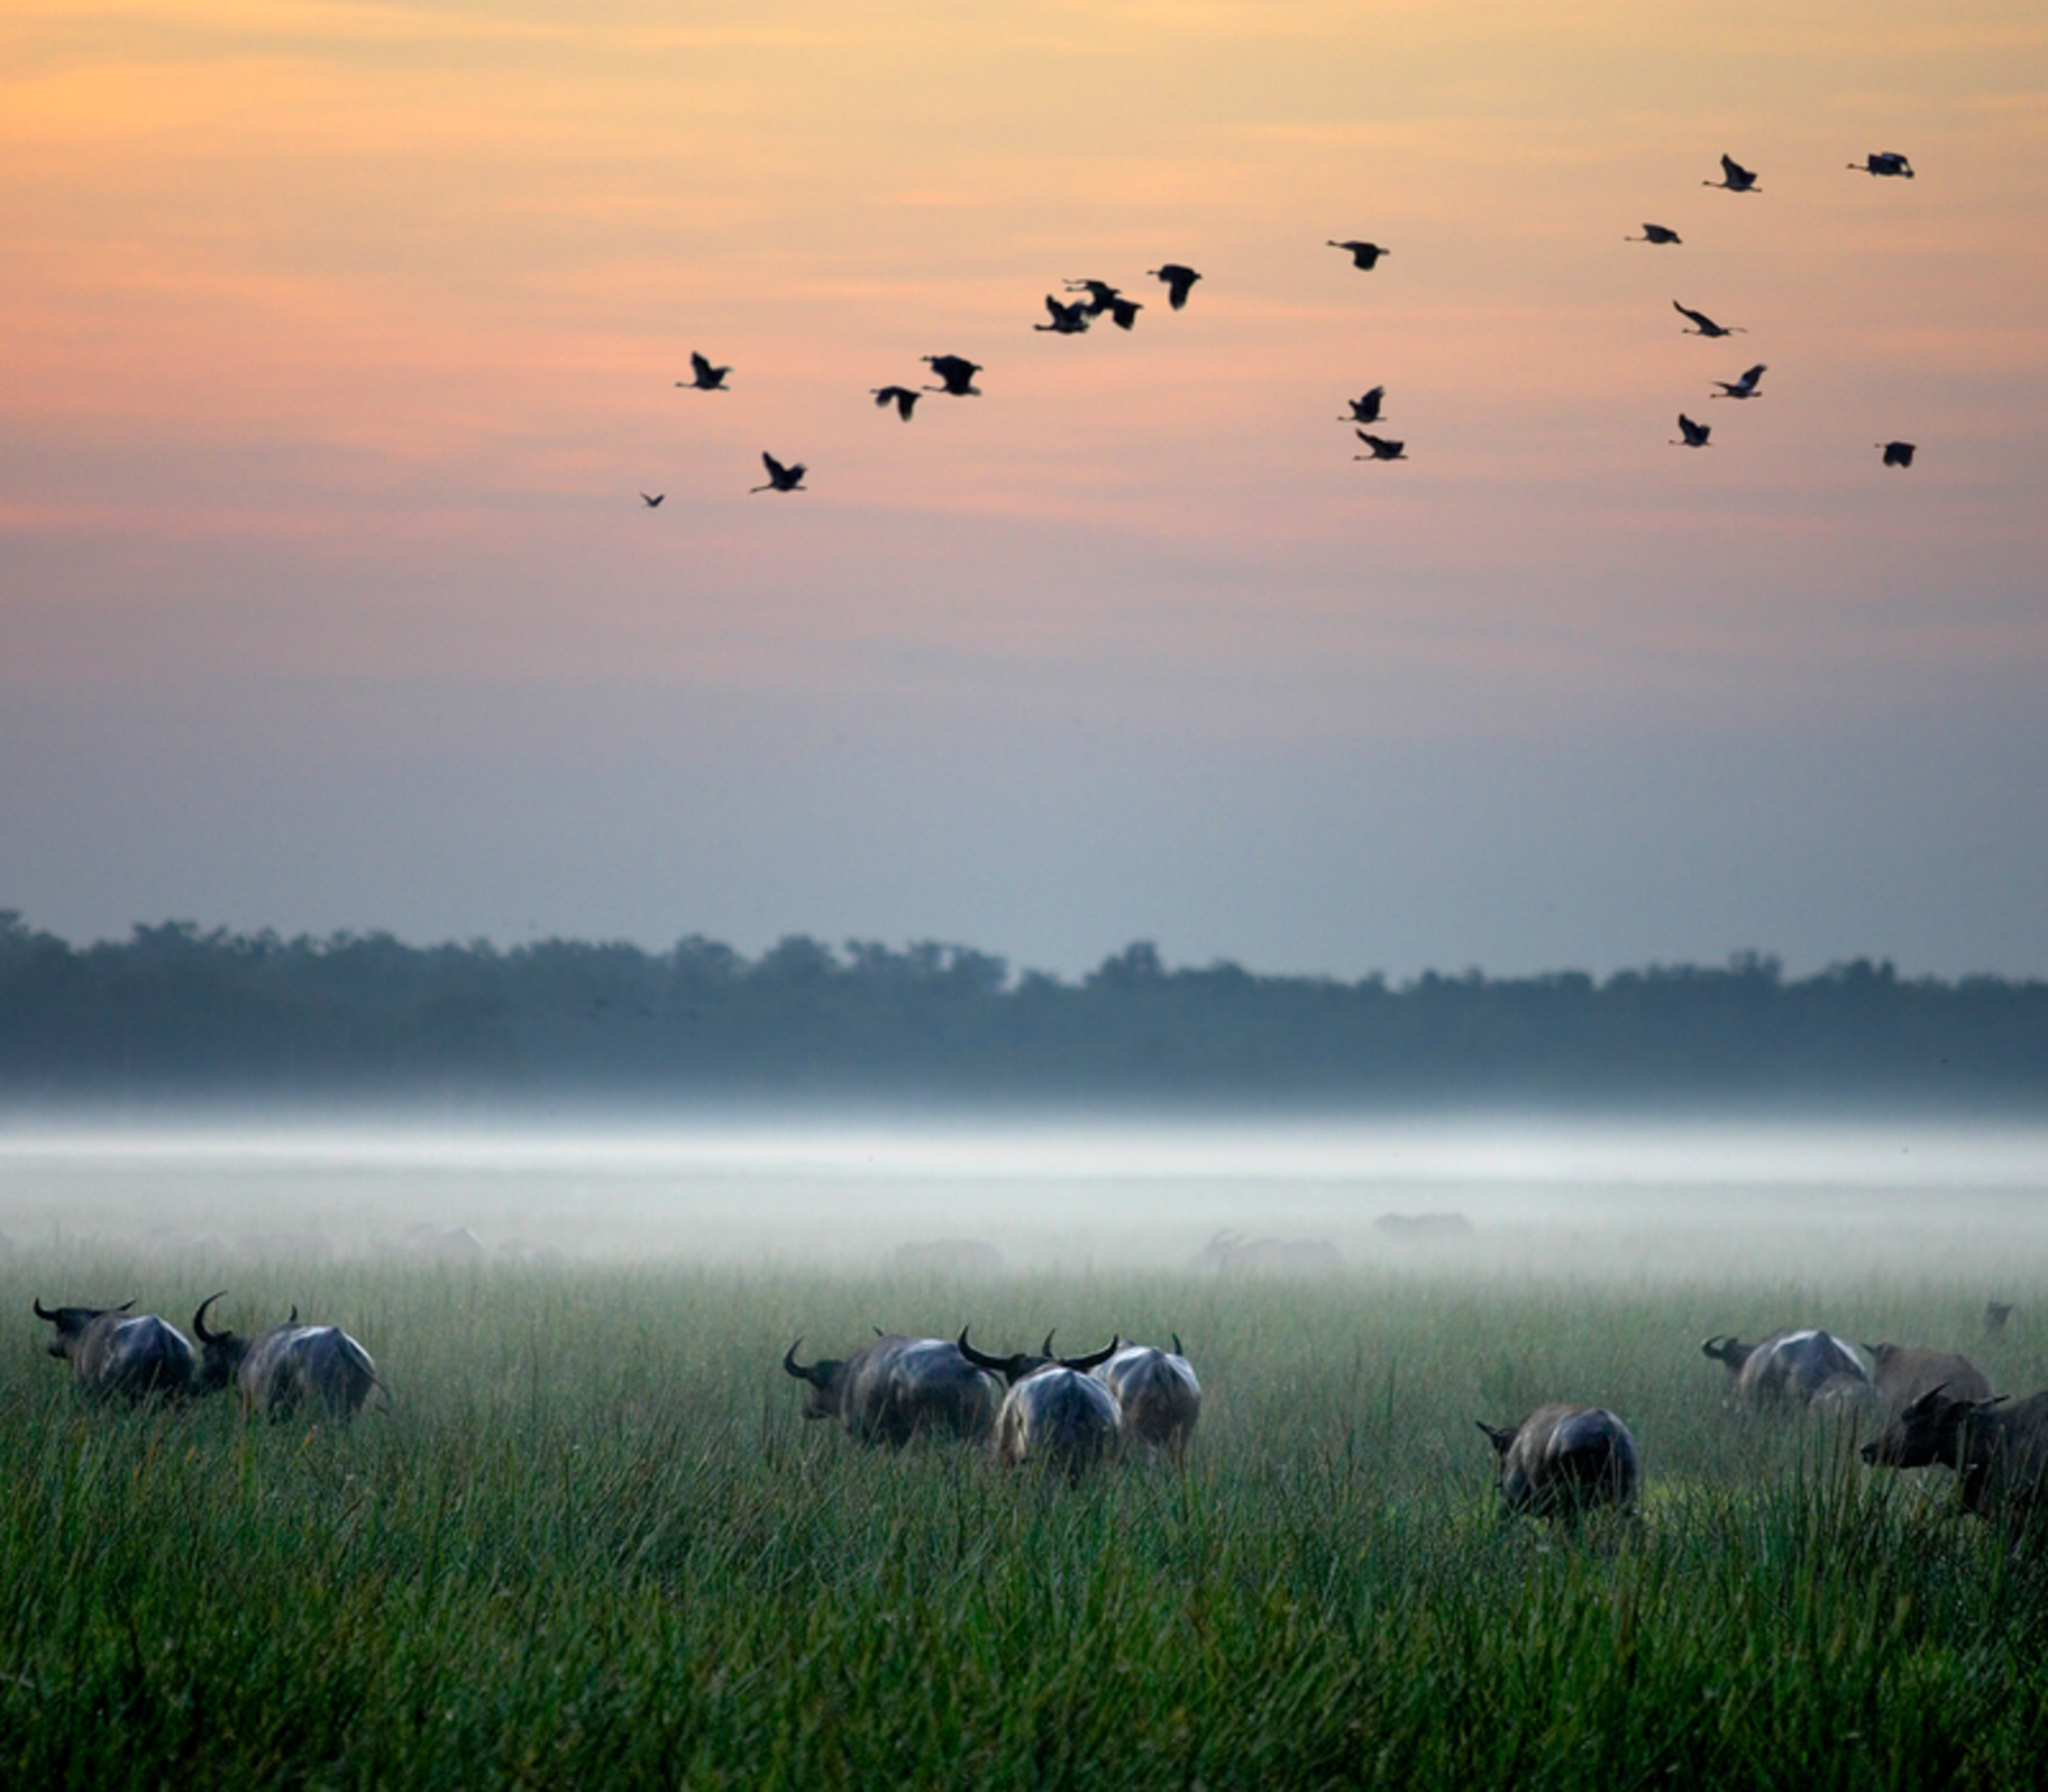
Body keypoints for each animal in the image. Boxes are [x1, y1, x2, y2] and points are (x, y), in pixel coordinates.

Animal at [782, 1333, 1000, 1446]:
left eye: (813, 1384)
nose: (806, 1409)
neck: (847, 1379)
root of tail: (967, 1367)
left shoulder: (863, 1436)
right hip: (979, 1432)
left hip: (928, 1433)